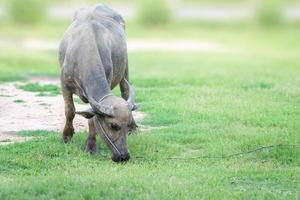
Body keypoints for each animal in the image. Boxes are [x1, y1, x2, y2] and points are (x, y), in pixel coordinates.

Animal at [58, 3, 137, 162]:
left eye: (125, 125)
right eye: (113, 125)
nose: (124, 156)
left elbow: (92, 119)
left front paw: (91, 146)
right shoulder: (64, 84)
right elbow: (70, 111)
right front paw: (67, 136)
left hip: (125, 67)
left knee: (125, 90)